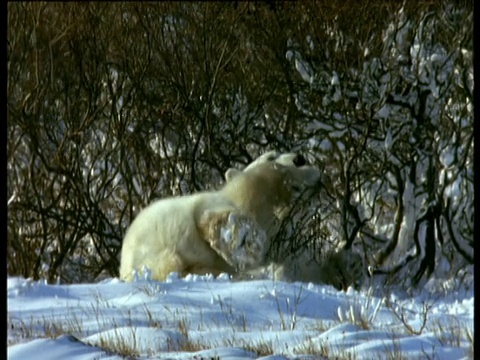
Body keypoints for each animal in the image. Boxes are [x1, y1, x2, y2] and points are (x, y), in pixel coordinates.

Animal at [119, 150, 322, 282]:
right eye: (271, 155)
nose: (299, 158)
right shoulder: (210, 203)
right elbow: (215, 219)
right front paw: (241, 242)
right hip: (156, 243)